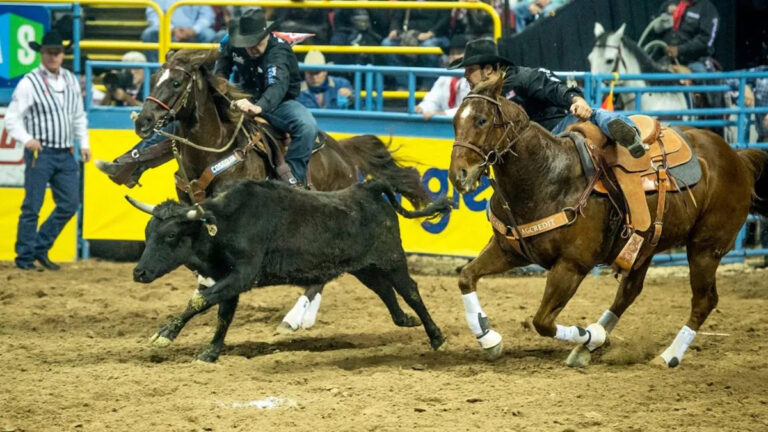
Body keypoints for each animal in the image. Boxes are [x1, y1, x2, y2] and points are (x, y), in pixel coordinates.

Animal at [134, 49, 428, 350]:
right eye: (155, 78)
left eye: (176, 83)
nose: (143, 121)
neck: (214, 151)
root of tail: (343, 151)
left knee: (322, 275)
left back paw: (295, 318)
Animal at [448, 73, 768, 368]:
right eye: (454, 121)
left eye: (481, 120)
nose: (458, 175)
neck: (547, 175)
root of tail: (737, 158)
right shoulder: (509, 250)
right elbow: (466, 277)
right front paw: (489, 339)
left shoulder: (571, 266)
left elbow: (542, 321)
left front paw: (594, 336)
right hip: (645, 247)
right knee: (629, 292)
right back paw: (586, 348)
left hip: (705, 248)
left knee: (704, 300)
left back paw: (668, 356)